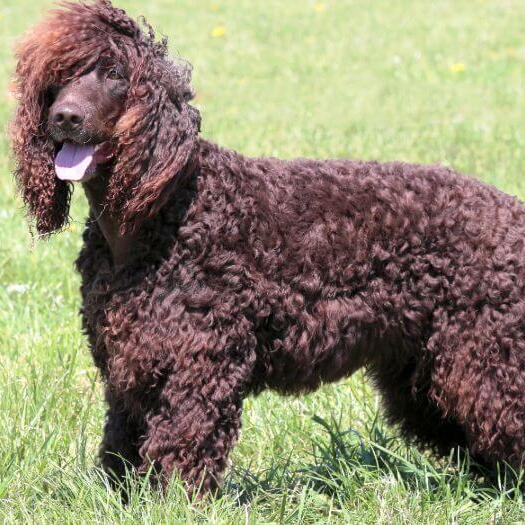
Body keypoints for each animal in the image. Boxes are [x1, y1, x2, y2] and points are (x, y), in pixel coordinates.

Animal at [11, 0, 525, 494]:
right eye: (58, 78)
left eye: (116, 74)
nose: (64, 117)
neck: (154, 218)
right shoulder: (129, 363)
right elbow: (122, 441)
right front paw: (121, 498)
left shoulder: (199, 366)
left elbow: (182, 445)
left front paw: (173, 502)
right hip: (423, 373)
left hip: (486, 355)